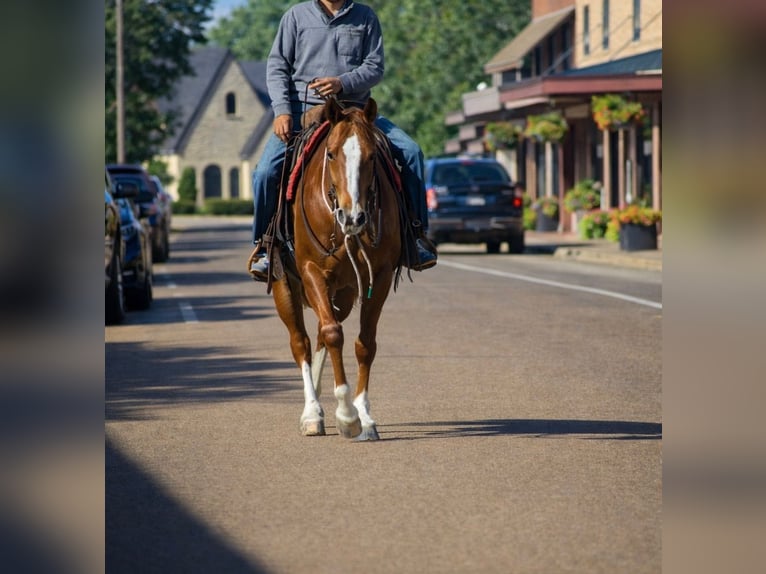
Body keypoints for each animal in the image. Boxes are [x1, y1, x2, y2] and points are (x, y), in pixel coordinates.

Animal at [269, 97, 402, 441]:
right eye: (331, 153)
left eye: (372, 156)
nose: (352, 217)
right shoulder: (311, 271)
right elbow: (332, 335)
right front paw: (346, 415)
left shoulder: (379, 277)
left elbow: (364, 344)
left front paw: (364, 416)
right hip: (284, 287)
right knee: (302, 341)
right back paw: (312, 411)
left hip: (341, 293)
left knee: (320, 335)